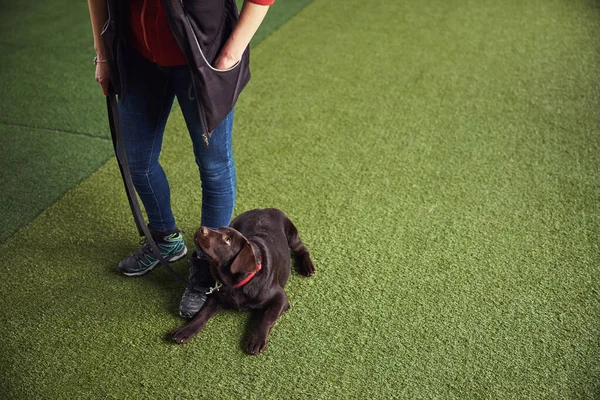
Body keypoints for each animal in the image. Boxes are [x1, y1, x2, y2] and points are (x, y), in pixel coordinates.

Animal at [171, 208, 316, 354]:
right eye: (218, 229)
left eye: (228, 240)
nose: (202, 228)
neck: (235, 284)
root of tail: (264, 208)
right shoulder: (216, 296)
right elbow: (202, 314)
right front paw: (186, 331)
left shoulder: (280, 299)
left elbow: (267, 318)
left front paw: (257, 339)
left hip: (291, 236)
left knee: (302, 249)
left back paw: (308, 267)